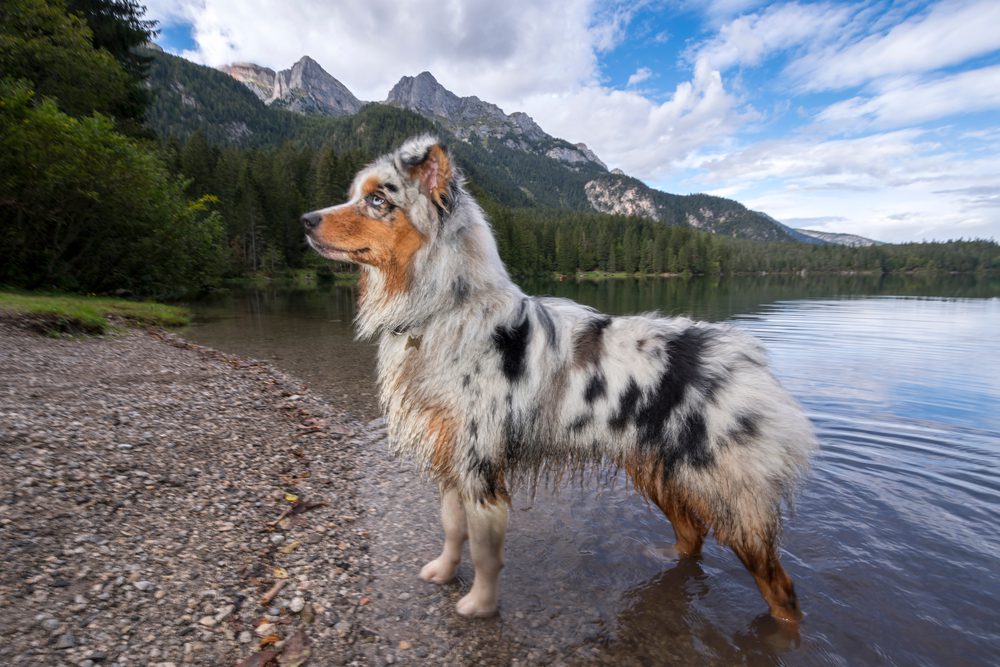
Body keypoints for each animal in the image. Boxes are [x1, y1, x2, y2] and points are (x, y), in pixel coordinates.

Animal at [300, 134, 816, 620]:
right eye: (356, 195)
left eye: (377, 200)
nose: (305, 219)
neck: (442, 308)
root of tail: (751, 359)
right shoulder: (451, 457)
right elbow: (451, 528)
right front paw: (444, 573)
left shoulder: (481, 466)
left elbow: (485, 551)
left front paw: (480, 605)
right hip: (656, 472)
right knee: (691, 535)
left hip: (732, 499)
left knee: (781, 587)